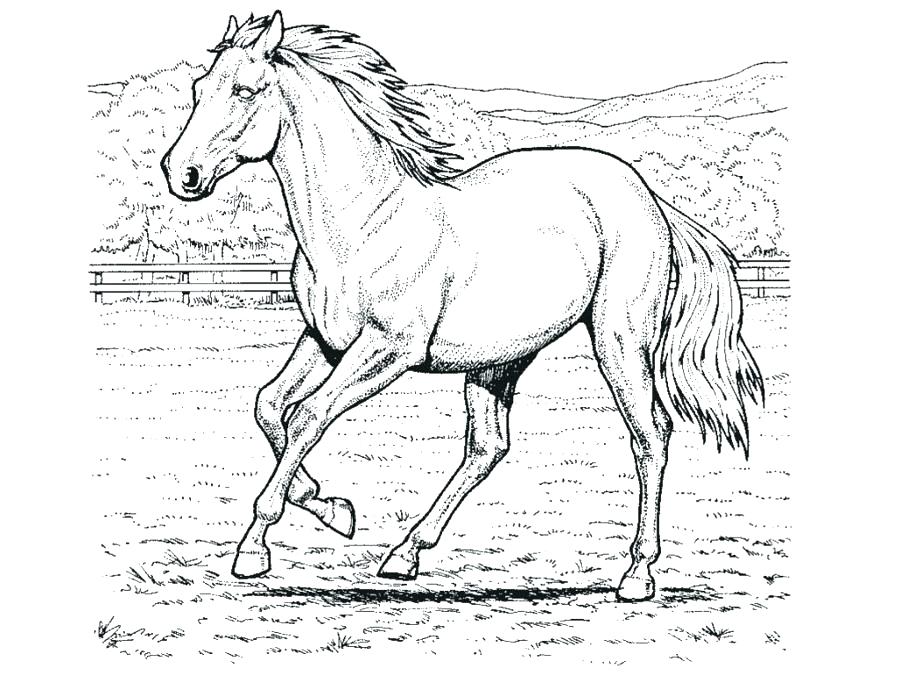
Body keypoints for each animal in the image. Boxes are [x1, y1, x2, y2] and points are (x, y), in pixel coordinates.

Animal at [161, 12, 763, 602]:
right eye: (198, 88)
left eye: (244, 90)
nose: (179, 174)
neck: (364, 222)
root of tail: (648, 196)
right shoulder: (324, 341)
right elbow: (268, 406)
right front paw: (332, 508)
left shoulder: (387, 351)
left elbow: (307, 416)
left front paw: (255, 549)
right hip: (499, 361)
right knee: (488, 447)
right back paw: (404, 555)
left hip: (619, 340)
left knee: (650, 435)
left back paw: (637, 575)